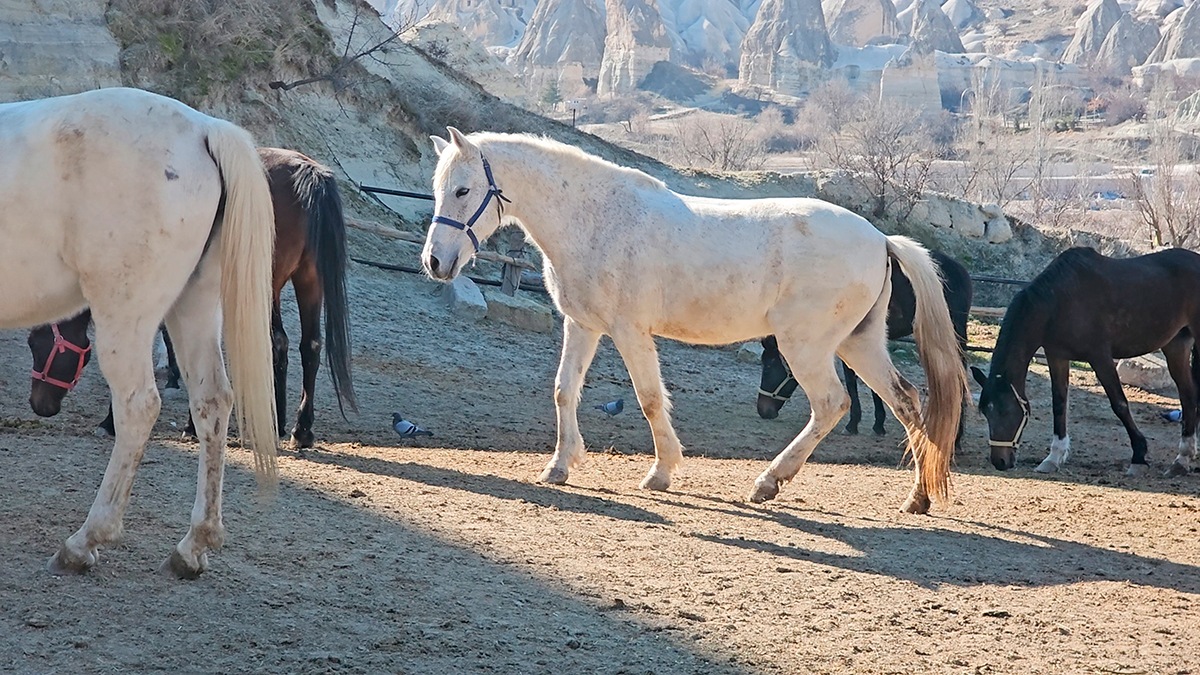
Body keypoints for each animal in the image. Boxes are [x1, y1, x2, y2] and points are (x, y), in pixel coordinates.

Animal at [1, 87, 277, 578]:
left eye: (37, 342)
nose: (41, 405)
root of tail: (205, 128)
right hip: (194, 308)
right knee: (212, 401)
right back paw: (193, 546)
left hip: (127, 317)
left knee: (138, 406)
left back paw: (84, 542)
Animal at [27, 148, 357, 447]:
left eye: (36, 344)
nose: (39, 404)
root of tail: (306, 171)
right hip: (309, 281)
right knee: (309, 345)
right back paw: (299, 429)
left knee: (277, 342)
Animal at [757, 251, 973, 441]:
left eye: (768, 366)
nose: (763, 410)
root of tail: (960, 270)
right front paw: (878, 423)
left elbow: (852, 382)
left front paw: (854, 424)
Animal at [972, 246, 1200, 477]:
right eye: (986, 412)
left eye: (1006, 411)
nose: (1000, 461)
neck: (1058, 300)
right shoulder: (1057, 356)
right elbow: (1059, 403)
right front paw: (1053, 457)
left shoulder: (1100, 357)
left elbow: (1119, 404)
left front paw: (1138, 457)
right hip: (1176, 346)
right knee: (1188, 397)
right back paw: (1182, 460)